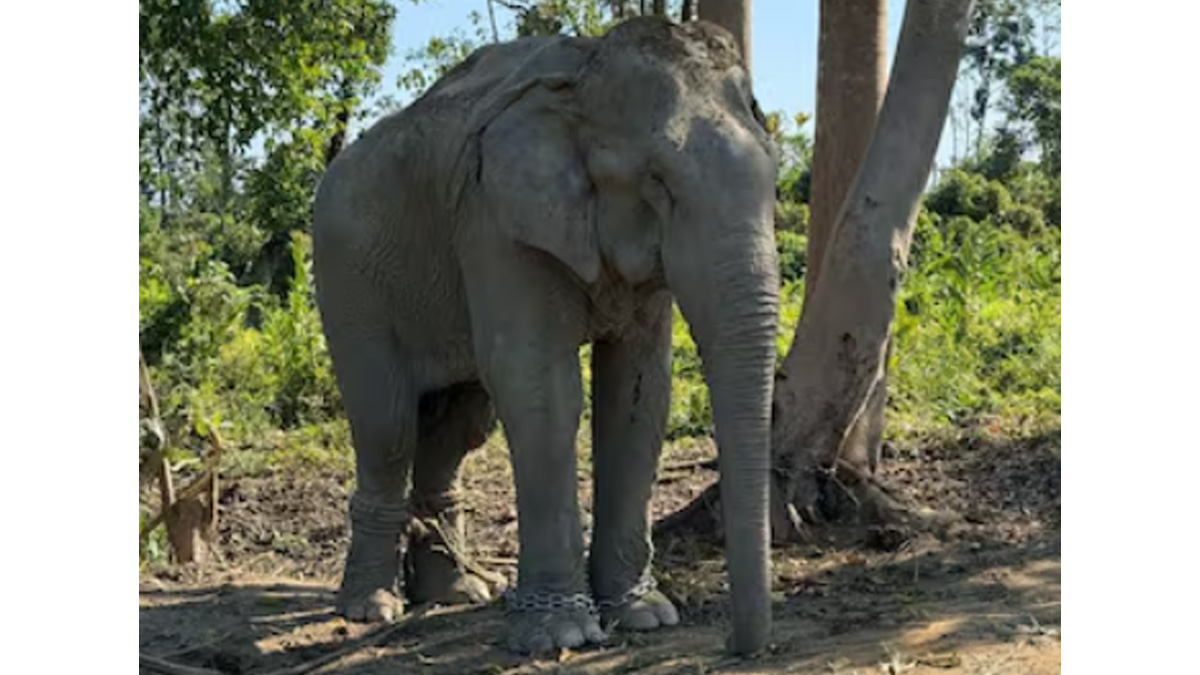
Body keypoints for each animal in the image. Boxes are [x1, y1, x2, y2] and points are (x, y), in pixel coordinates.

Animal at [312, 17, 779, 655]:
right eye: (657, 183)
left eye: (776, 179)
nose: (738, 647)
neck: (584, 76)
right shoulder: (495, 219)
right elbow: (539, 382)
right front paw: (565, 634)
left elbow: (640, 391)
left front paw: (645, 615)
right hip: (348, 280)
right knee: (388, 425)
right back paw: (371, 608)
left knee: (459, 425)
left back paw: (456, 593)